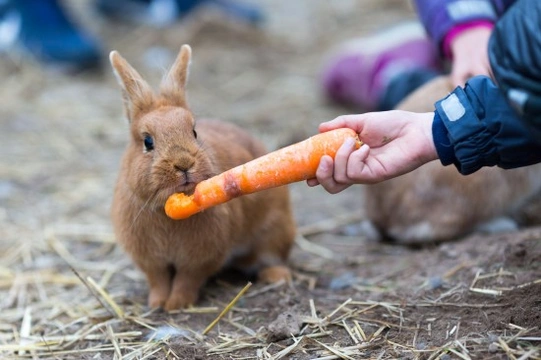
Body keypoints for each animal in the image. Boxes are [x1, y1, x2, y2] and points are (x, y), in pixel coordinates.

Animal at [110, 44, 296, 310]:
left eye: (194, 132)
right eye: (147, 142)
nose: (184, 164)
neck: (169, 210)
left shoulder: (200, 259)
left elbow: (187, 279)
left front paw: (177, 304)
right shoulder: (151, 261)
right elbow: (159, 280)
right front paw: (157, 303)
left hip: (275, 230)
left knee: (271, 256)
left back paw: (276, 276)